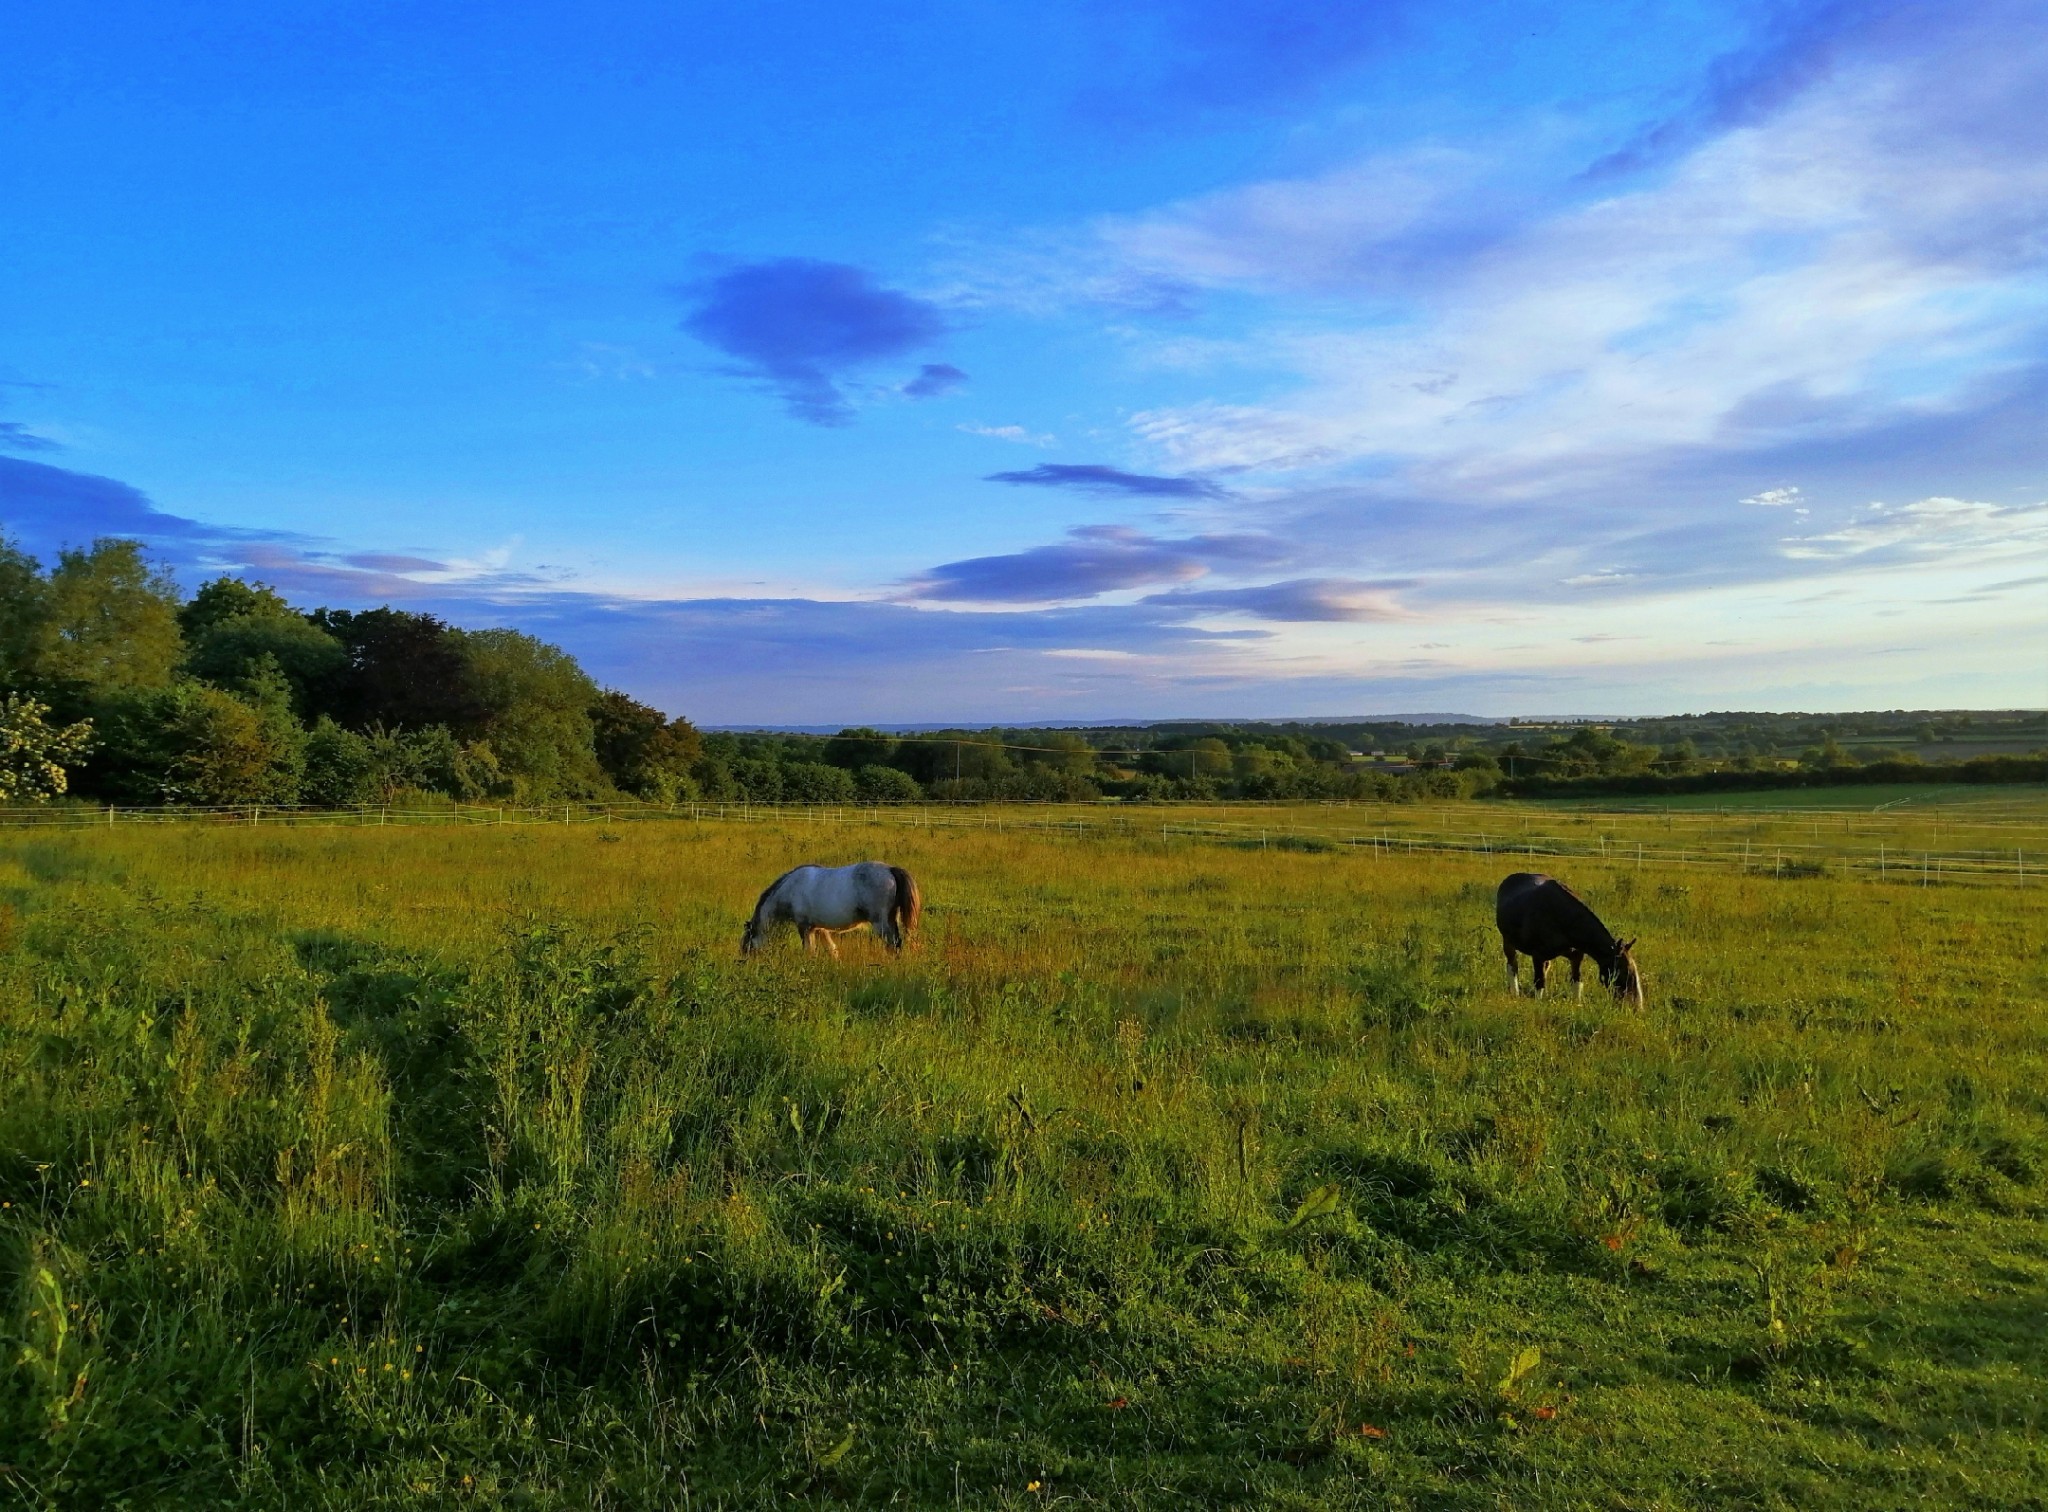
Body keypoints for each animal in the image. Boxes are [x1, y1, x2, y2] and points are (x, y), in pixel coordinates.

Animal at [741, 860, 925, 954]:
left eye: (748, 946)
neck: (790, 889)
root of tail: (890, 869)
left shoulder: (804, 927)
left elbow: (809, 951)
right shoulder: (819, 928)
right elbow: (831, 949)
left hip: (881, 923)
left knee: (894, 945)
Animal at [1490, 872, 1646, 999]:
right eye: (1624, 972)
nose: (1636, 1006)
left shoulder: (1576, 956)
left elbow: (1576, 982)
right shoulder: (1537, 955)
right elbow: (1539, 983)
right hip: (1508, 942)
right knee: (1512, 966)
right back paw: (1514, 992)